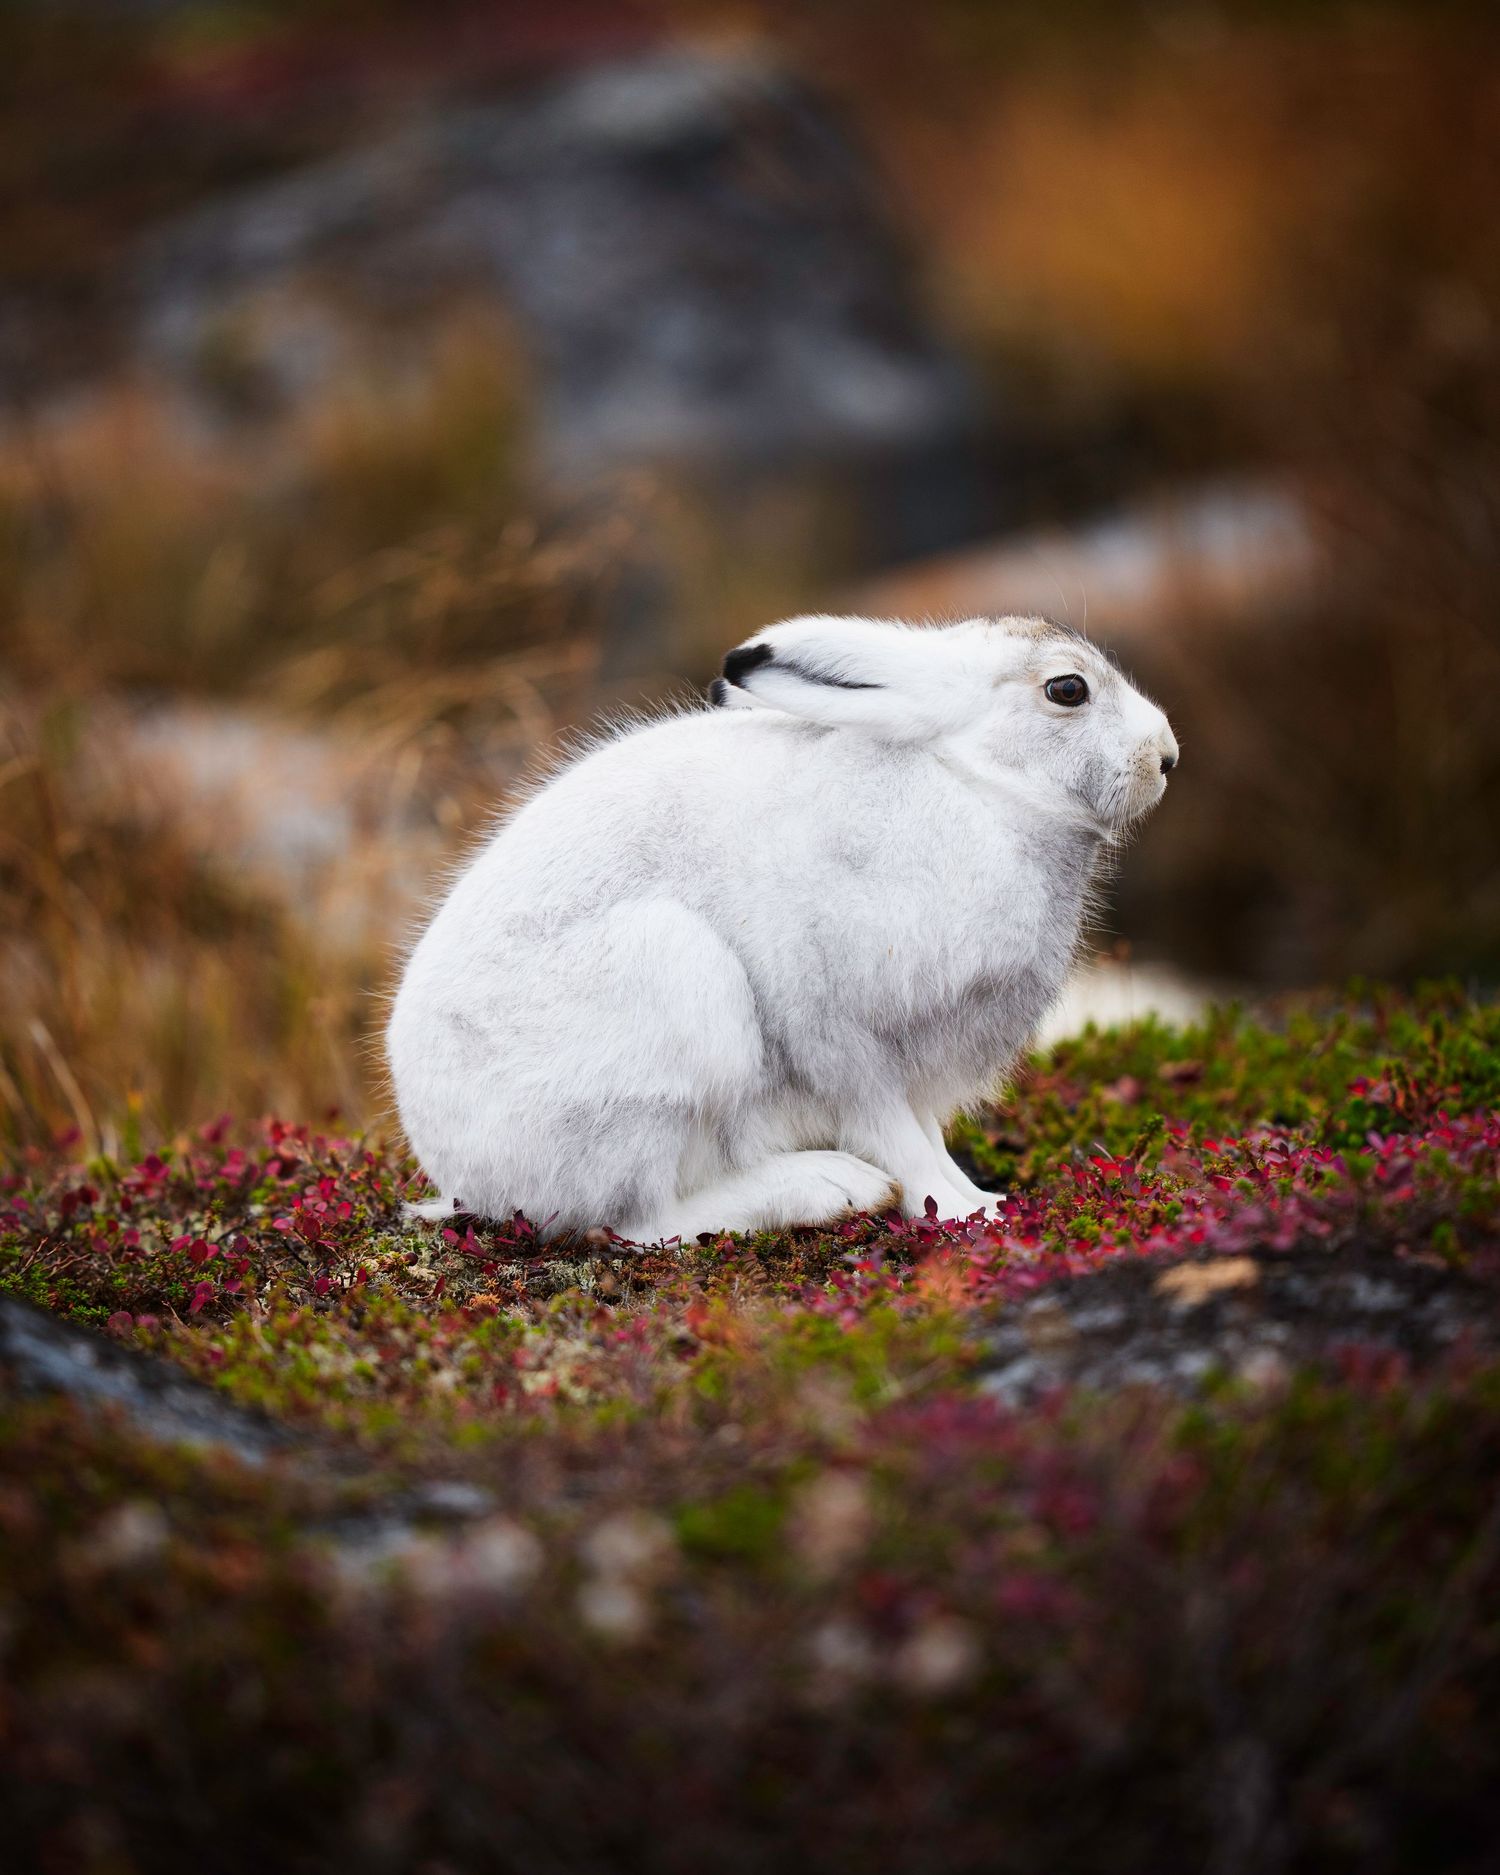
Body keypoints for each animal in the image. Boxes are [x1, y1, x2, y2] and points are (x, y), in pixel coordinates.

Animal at [386, 613, 1178, 1243]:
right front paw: (958, 1213)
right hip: (673, 995)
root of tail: (465, 1176)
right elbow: (896, 1135)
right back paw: (829, 1189)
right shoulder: (836, 1033)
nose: (1167, 757)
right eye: (1067, 690)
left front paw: (981, 1198)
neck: (977, 789)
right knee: (637, 1223)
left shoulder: (914, 1065)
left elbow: (926, 1137)